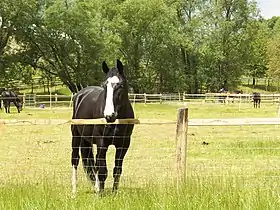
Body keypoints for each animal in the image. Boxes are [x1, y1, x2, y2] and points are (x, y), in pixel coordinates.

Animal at [71, 59, 135, 195]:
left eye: (120, 85)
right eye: (104, 85)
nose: (109, 115)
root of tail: (80, 95)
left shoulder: (124, 144)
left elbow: (117, 170)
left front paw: (114, 193)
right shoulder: (102, 143)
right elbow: (102, 171)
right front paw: (100, 194)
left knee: (92, 163)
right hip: (76, 136)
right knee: (75, 160)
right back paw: (74, 191)